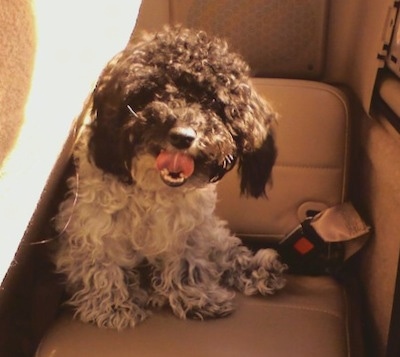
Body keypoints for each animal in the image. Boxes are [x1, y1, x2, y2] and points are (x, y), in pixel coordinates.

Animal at [54, 26, 288, 330]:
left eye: (212, 100)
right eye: (152, 91)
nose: (182, 136)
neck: (153, 189)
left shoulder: (188, 231)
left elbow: (188, 264)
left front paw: (198, 298)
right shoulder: (93, 226)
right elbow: (103, 266)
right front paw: (113, 306)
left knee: (224, 250)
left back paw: (261, 270)